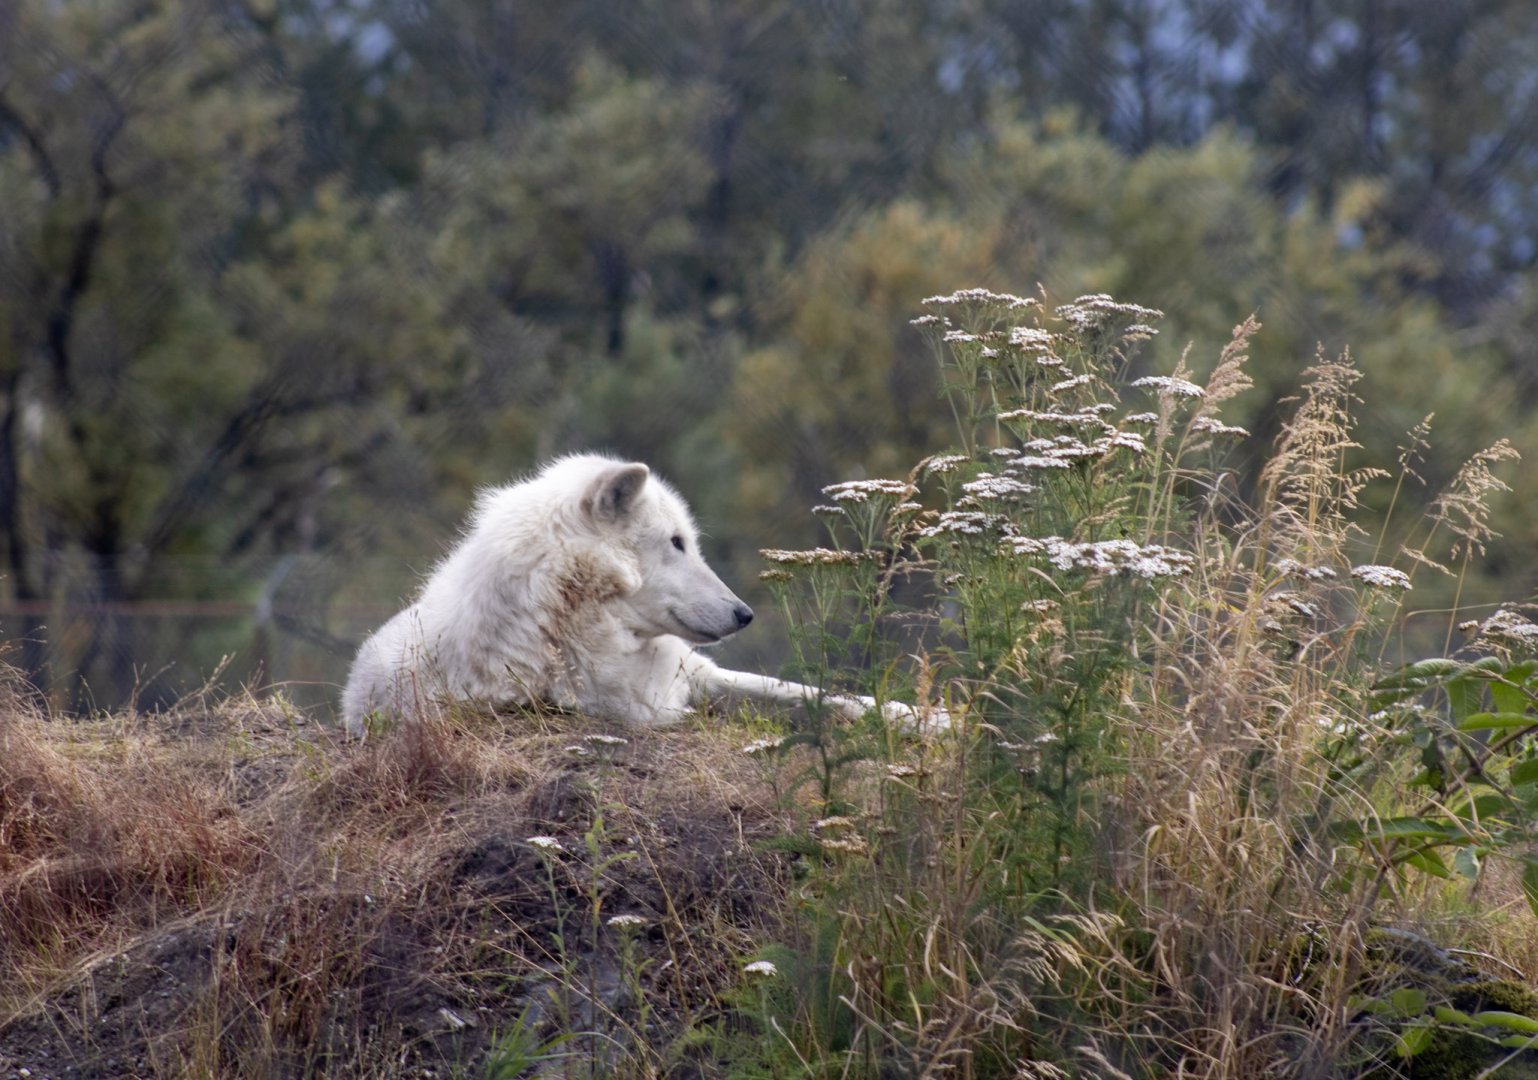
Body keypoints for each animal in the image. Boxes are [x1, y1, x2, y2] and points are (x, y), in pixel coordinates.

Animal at [341, 454, 933, 735]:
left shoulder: (697, 674)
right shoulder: (637, 704)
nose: (745, 614)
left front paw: (927, 718)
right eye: (676, 543)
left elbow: (813, 694)